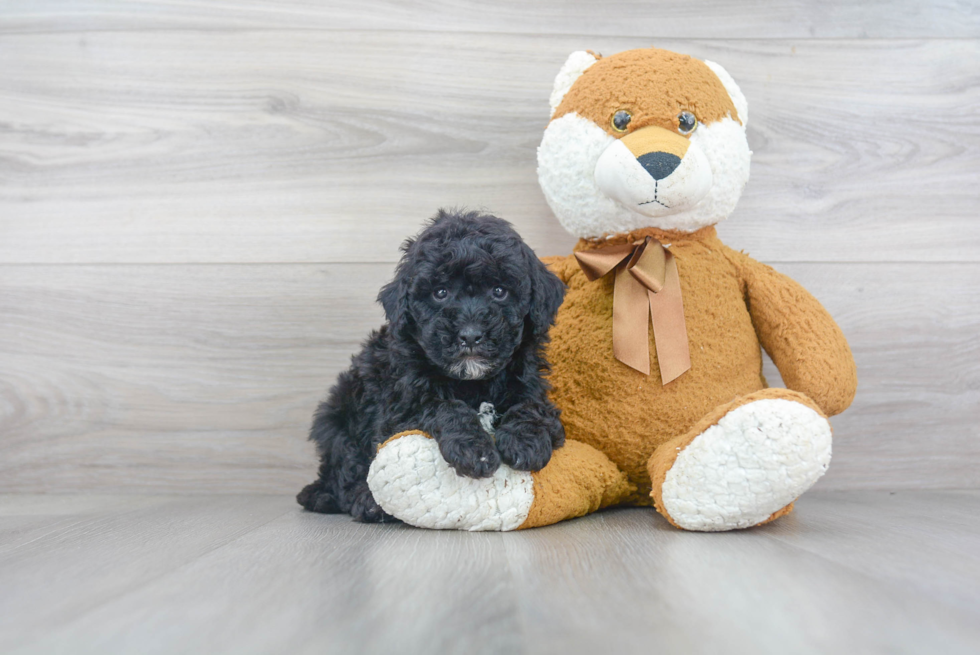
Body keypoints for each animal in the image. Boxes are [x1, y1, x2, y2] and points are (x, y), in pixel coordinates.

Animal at [302, 210, 572, 524]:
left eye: (500, 291)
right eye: (440, 292)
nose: (470, 335)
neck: (472, 382)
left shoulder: (531, 386)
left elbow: (531, 407)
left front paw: (525, 443)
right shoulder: (400, 411)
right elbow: (444, 407)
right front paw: (473, 450)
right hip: (336, 420)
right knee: (346, 468)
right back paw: (363, 501)